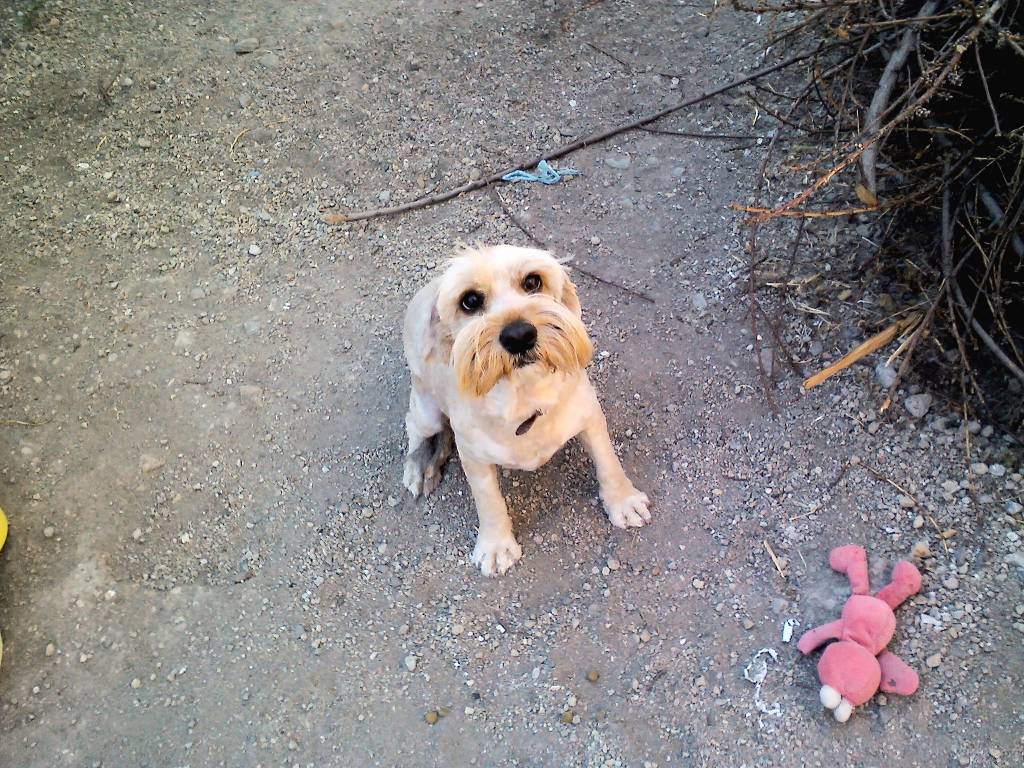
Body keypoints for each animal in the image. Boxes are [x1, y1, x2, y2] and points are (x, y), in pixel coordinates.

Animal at [401, 245, 650, 575]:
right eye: (470, 300)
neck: (523, 395)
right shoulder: (474, 458)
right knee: (416, 426)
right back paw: (419, 466)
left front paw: (622, 500)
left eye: (532, 282)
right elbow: (488, 501)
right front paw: (495, 545)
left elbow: (608, 462)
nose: (519, 335)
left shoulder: (589, 416)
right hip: (427, 410)